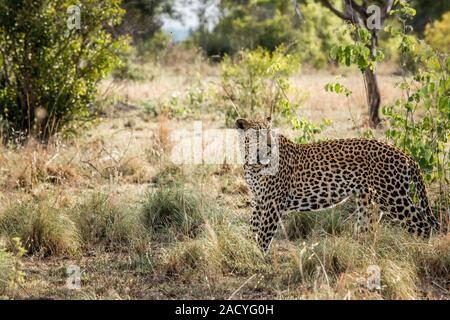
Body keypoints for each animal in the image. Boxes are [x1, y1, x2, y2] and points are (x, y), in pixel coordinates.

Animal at [236, 117, 440, 252]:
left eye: (270, 132)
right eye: (257, 134)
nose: (271, 144)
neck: (252, 161)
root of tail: (405, 155)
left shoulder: (273, 201)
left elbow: (264, 233)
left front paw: (260, 259)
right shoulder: (259, 199)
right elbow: (253, 226)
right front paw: (250, 250)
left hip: (393, 197)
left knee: (424, 226)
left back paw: (418, 254)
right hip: (368, 201)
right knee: (367, 230)